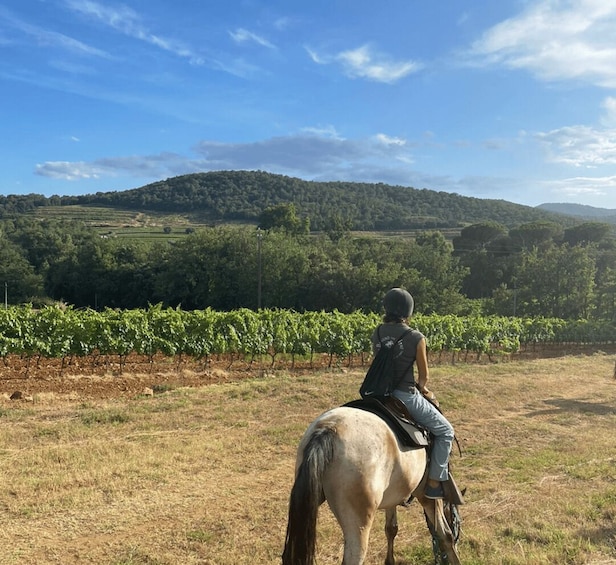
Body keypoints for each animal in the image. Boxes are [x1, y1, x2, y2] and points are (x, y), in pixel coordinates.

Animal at [282, 406, 460, 564]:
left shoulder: (393, 495)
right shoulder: (427, 495)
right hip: (359, 523)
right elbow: (446, 534)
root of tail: (330, 430)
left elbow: (391, 528)